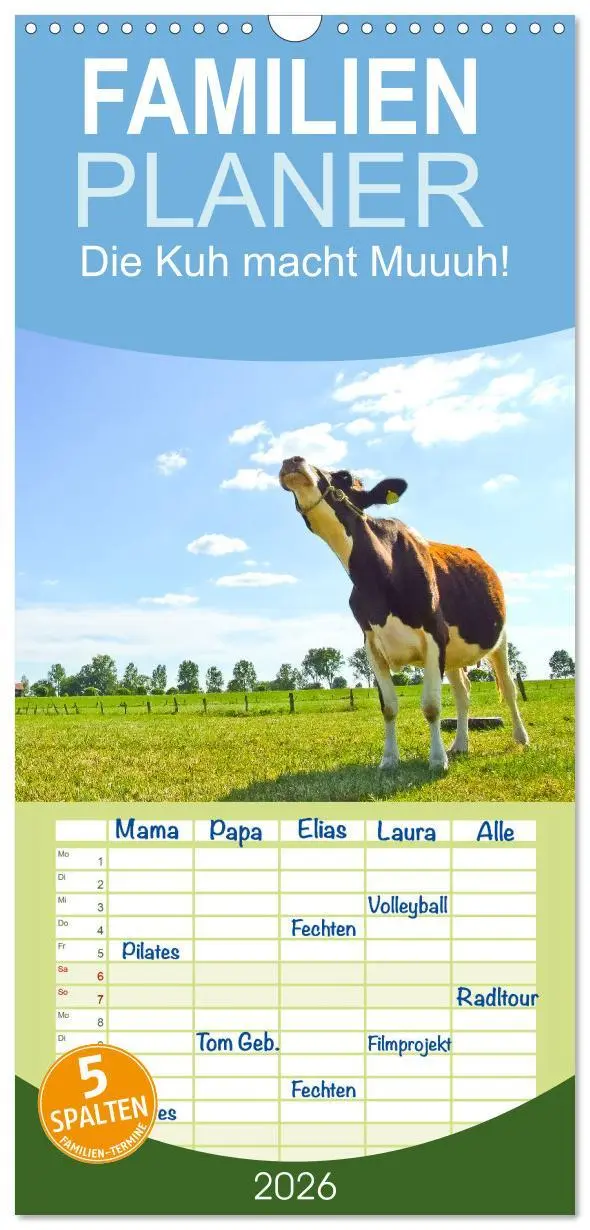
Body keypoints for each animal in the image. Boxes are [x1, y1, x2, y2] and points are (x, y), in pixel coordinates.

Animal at [279, 457, 528, 772]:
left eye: (345, 476)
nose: (292, 460)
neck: (379, 579)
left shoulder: (434, 634)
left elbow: (432, 706)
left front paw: (437, 760)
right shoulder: (372, 644)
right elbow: (388, 707)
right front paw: (389, 759)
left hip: (500, 639)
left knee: (508, 687)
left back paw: (521, 738)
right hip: (454, 653)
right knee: (463, 693)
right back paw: (460, 744)